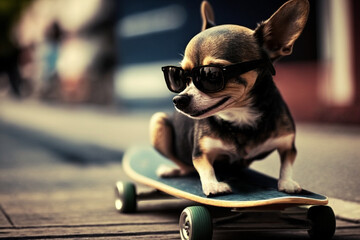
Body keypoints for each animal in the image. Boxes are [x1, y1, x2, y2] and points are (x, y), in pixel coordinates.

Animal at [149, 0, 310, 197]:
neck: (240, 117)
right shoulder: (200, 152)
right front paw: (213, 184)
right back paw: (171, 169)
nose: (179, 100)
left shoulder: (287, 144)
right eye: (180, 76)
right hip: (158, 121)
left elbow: (287, 162)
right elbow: (204, 166)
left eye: (211, 75)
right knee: (184, 165)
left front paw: (287, 182)